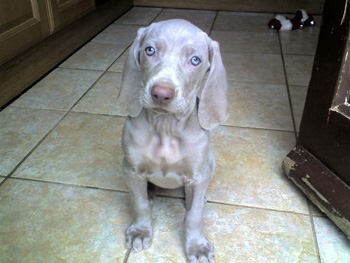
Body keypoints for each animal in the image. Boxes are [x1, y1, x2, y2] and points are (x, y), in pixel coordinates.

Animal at [116, 19, 228, 263]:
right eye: (150, 50)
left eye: (195, 60)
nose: (161, 93)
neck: (166, 127)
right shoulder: (131, 170)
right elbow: (139, 204)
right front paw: (140, 230)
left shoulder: (198, 174)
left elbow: (194, 215)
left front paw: (197, 246)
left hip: (210, 162)